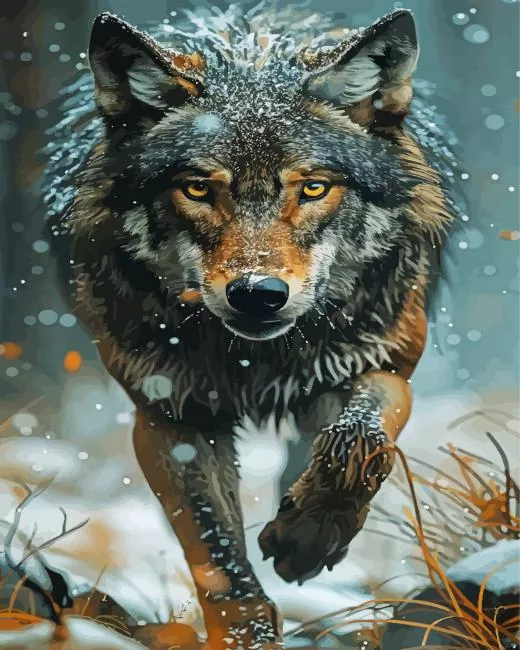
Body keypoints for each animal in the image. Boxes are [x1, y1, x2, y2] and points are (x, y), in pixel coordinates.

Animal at [44, 3, 456, 647]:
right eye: (196, 188)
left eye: (313, 187)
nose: (258, 295)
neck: (256, 359)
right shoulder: (171, 416)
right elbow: (217, 557)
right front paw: (248, 634)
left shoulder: (384, 364)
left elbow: (359, 442)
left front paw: (307, 538)